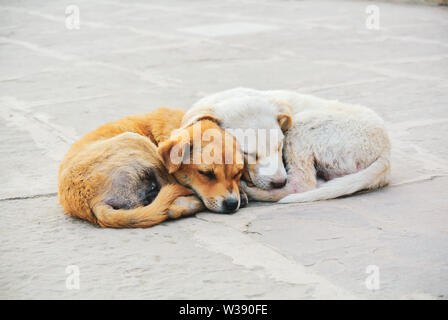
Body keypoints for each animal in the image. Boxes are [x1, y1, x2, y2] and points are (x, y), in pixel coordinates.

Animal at [59, 107, 245, 228]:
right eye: (206, 173)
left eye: (238, 174)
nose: (231, 204)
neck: (182, 124)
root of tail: (91, 203)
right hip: (139, 142)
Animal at [184, 87, 390, 202]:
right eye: (249, 153)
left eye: (279, 146)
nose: (279, 182)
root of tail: (386, 150)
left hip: (302, 127)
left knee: (302, 184)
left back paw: (250, 191)